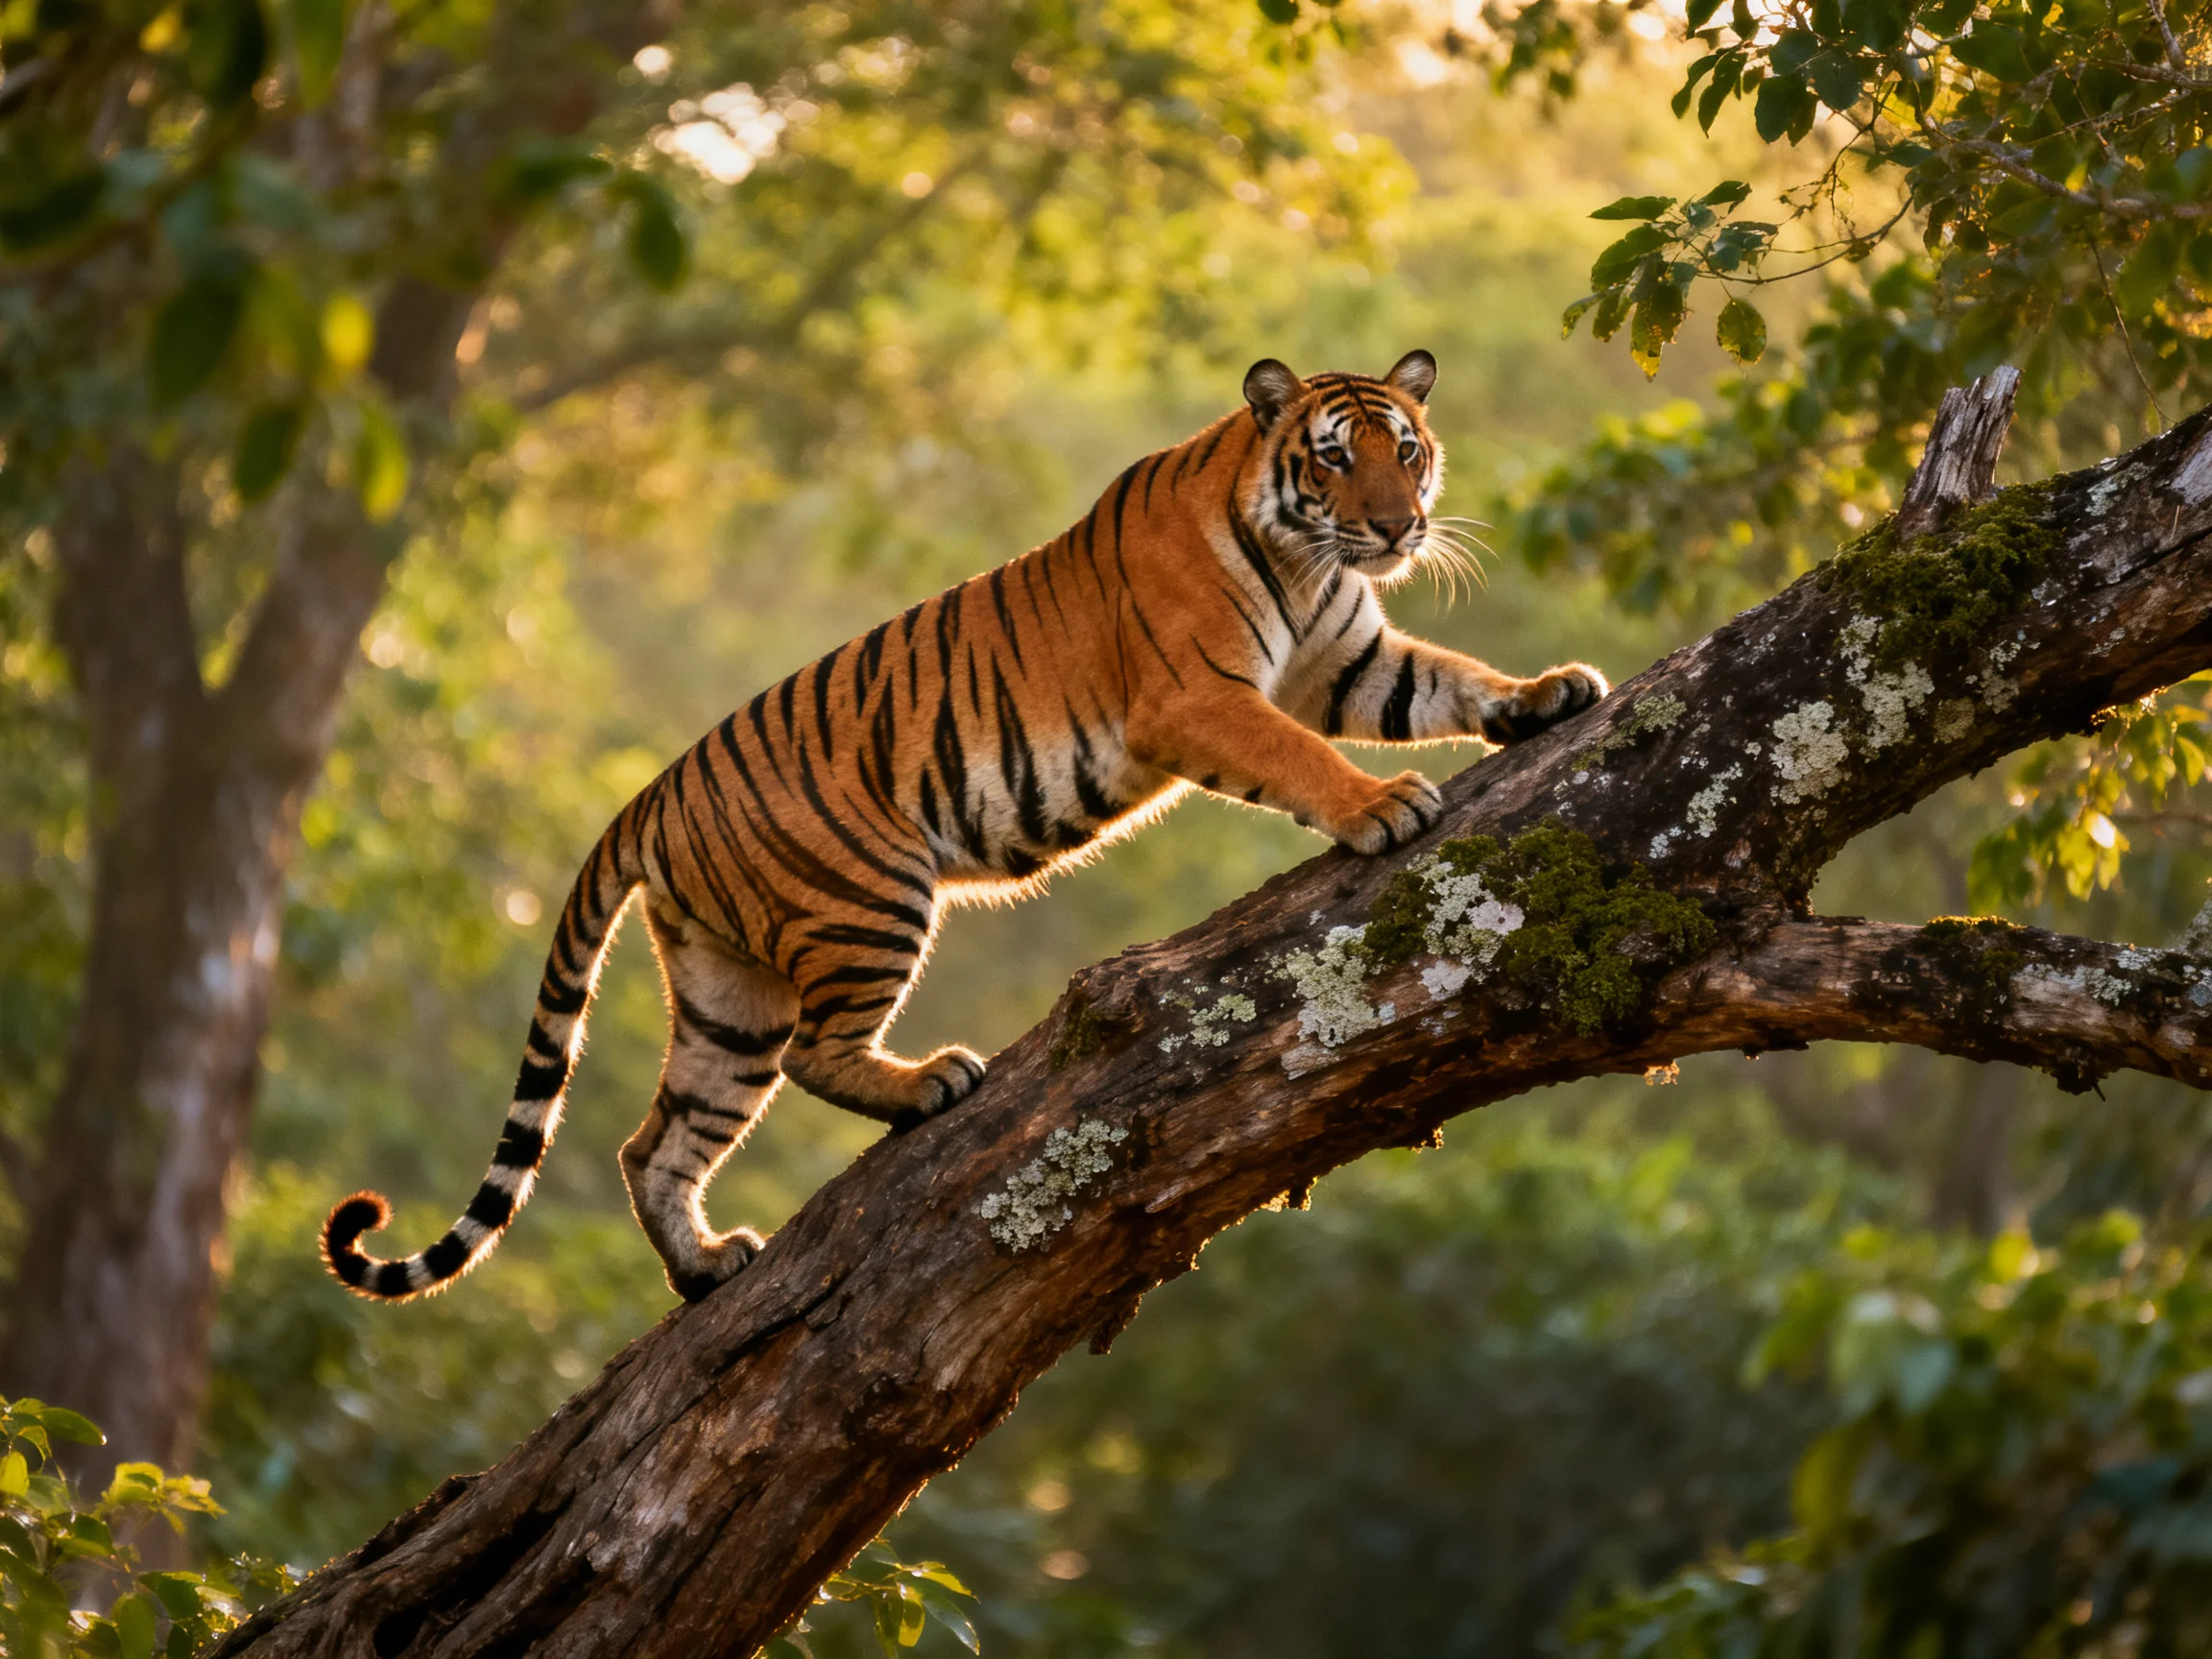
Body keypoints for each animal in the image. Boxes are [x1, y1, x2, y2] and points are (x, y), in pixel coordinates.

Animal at [322, 350, 1610, 1304]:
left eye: (1409, 450)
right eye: (1337, 459)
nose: (1396, 529)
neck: (1304, 559)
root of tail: (647, 798)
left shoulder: (1347, 664)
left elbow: (1447, 680)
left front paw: (1545, 694)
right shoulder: (1203, 699)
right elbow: (1310, 756)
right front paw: (1383, 808)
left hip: (727, 993)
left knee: (659, 1140)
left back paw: (704, 1270)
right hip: (870, 902)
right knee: (814, 1054)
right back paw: (928, 1083)